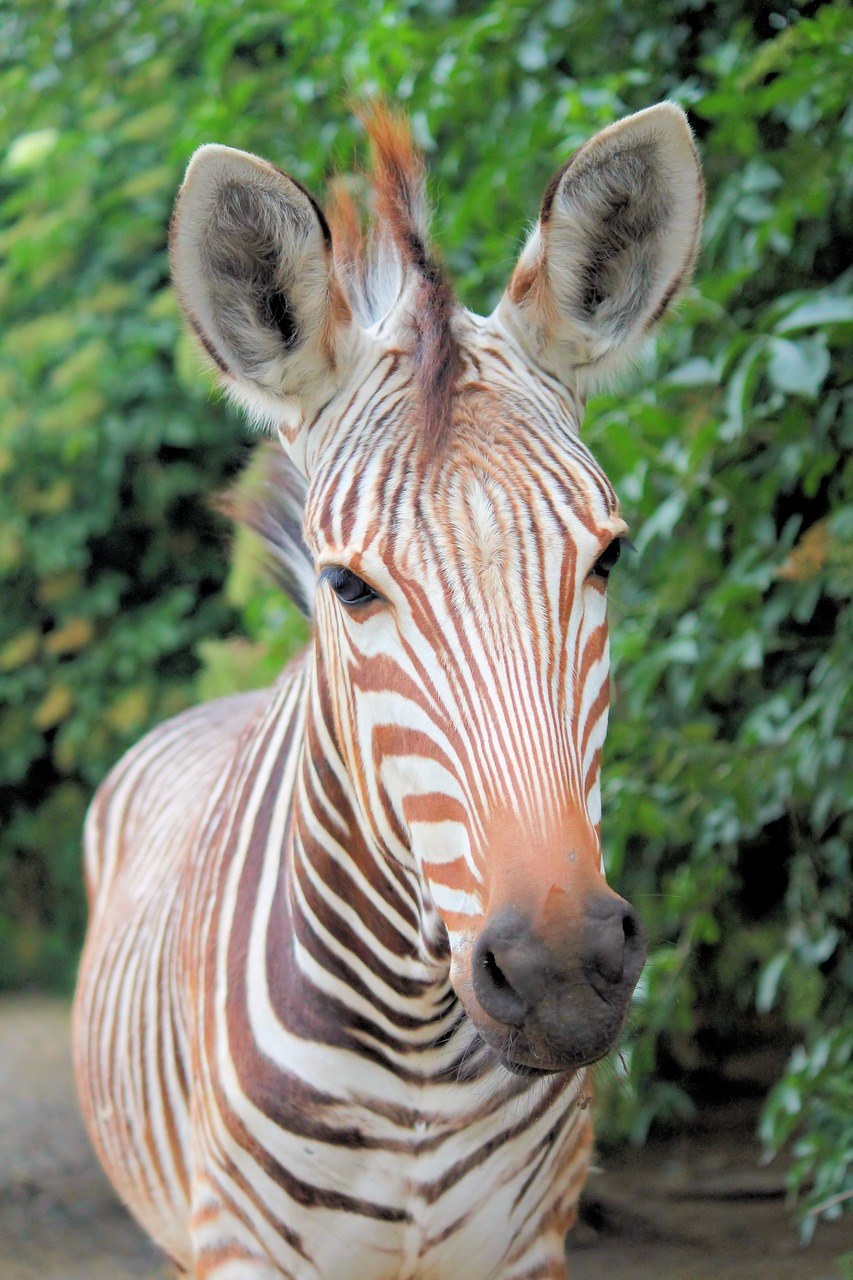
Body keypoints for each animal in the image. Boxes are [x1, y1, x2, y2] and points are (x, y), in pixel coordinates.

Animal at [71, 102, 696, 1280]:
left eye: (609, 557)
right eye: (348, 584)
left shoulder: (527, 1247)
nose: (560, 971)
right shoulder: (237, 1248)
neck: (414, 1049)